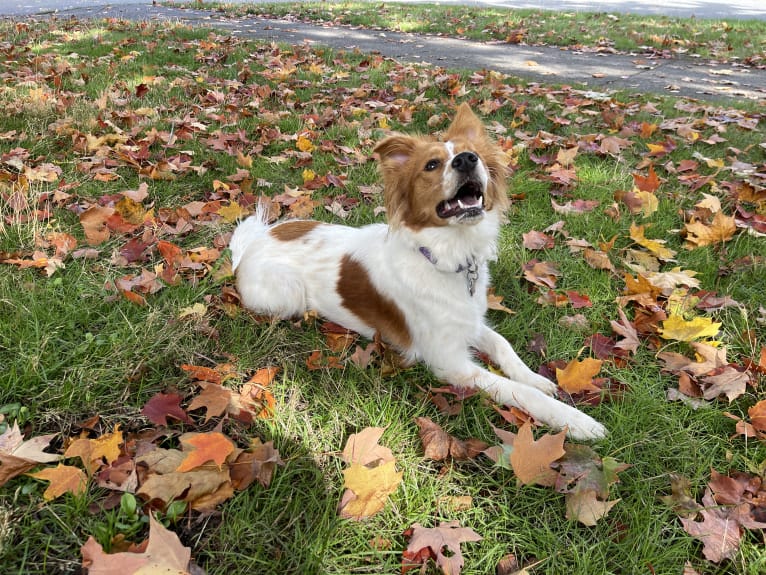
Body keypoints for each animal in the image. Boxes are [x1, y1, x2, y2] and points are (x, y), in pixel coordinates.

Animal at [231, 103, 608, 440]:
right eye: (431, 165)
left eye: (475, 155)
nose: (466, 160)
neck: (445, 256)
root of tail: (254, 242)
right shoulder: (450, 362)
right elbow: (519, 392)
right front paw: (575, 420)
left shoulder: (469, 322)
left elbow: (504, 347)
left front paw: (537, 378)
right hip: (287, 296)